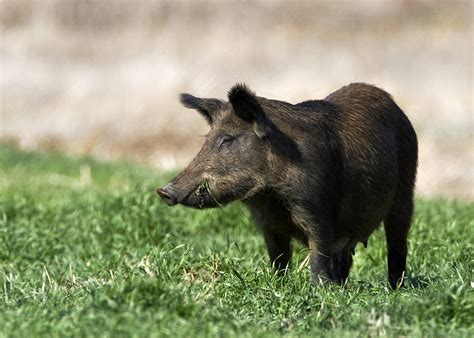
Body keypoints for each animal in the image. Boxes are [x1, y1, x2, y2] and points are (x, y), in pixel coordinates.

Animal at [157, 83, 416, 290]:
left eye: (227, 139)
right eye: (207, 138)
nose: (164, 191)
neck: (271, 196)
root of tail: (397, 108)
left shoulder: (317, 208)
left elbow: (318, 251)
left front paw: (319, 290)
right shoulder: (268, 223)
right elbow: (278, 258)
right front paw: (279, 284)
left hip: (405, 192)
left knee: (397, 242)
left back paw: (395, 288)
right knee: (344, 257)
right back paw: (342, 286)